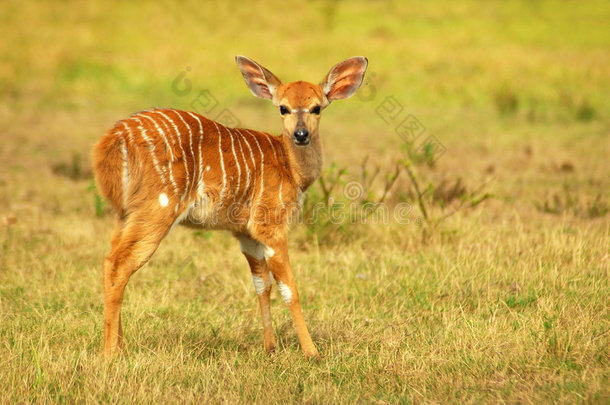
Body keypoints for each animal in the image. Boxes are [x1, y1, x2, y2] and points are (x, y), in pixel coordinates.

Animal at [91, 54, 366, 356]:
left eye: (317, 107)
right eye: (283, 108)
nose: (301, 134)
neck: (289, 166)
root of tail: (113, 140)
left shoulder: (245, 234)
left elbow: (261, 285)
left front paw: (270, 348)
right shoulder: (270, 226)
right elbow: (289, 288)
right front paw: (312, 353)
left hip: (126, 215)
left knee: (109, 261)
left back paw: (120, 347)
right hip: (157, 211)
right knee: (119, 264)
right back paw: (110, 354)